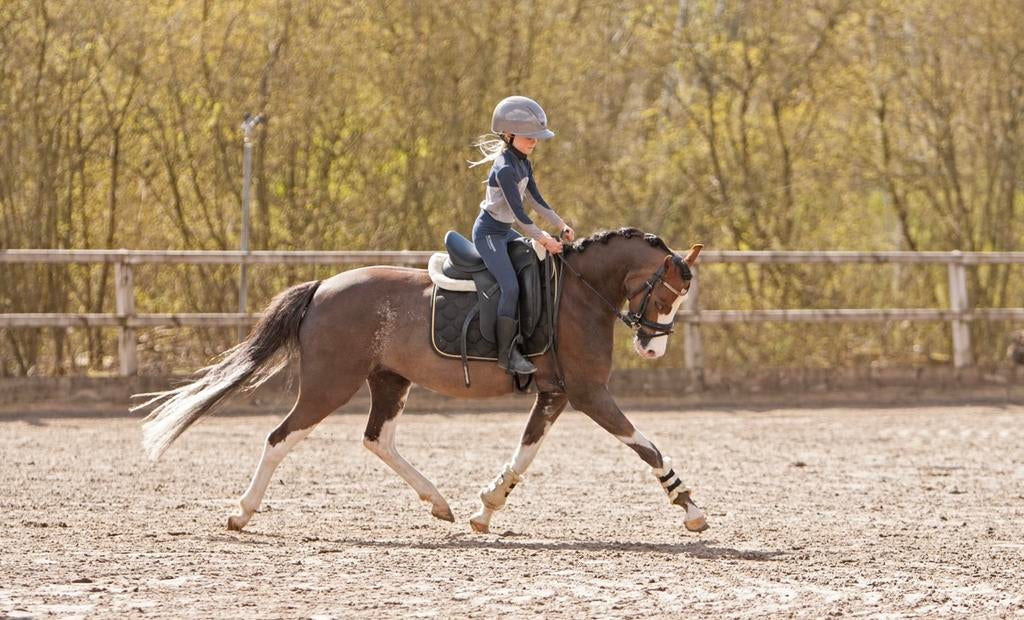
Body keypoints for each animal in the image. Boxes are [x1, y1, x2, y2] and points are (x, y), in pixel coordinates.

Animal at [135, 228, 707, 534]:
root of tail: (323, 288)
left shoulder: (556, 394)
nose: (652, 348)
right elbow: (646, 446)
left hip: (389, 380)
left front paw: (486, 508)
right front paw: (691, 509)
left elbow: (524, 453)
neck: (579, 293)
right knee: (281, 438)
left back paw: (439, 502)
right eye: (665, 294)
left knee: (377, 439)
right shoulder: (589, 394)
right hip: (330, 385)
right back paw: (242, 513)